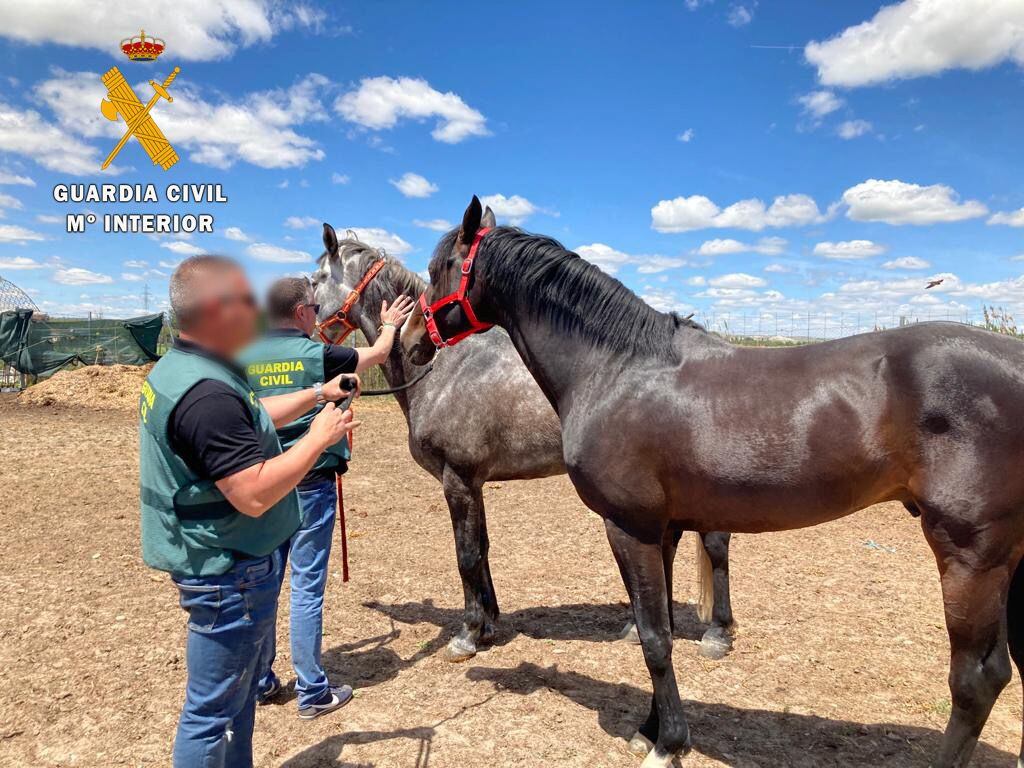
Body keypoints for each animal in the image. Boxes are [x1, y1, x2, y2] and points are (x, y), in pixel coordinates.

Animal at [309, 222, 737, 663]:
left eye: (316, 279)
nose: (313, 334)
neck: (443, 370)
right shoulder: (473, 483)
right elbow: (482, 548)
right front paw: (489, 624)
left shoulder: (457, 480)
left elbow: (466, 555)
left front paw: (467, 633)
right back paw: (639, 627)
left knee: (715, 543)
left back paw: (717, 633)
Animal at [403, 196, 1024, 768]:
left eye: (438, 268)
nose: (411, 340)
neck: (616, 369)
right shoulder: (665, 528)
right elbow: (658, 629)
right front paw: (650, 729)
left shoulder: (629, 527)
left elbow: (654, 638)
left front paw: (668, 745)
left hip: (971, 556)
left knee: (976, 679)